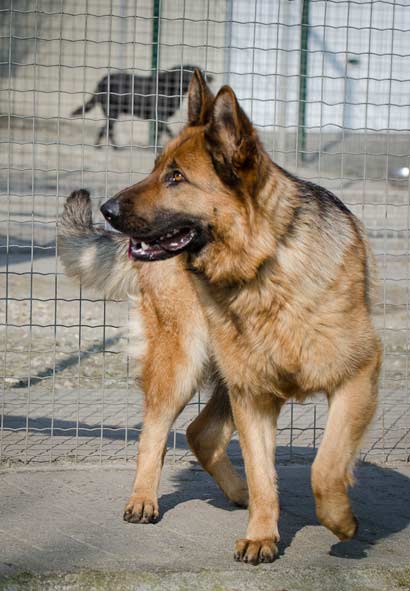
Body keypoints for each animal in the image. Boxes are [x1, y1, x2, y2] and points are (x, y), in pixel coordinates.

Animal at [71, 65, 212, 147]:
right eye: (186, 73)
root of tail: (103, 79)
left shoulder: (159, 119)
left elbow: (161, 132)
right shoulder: (160, 117)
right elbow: (166, 132)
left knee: (104, 128)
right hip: (113, 112)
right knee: (106, 129)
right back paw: (111, 147)